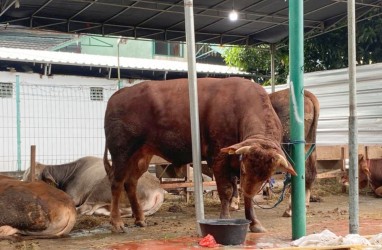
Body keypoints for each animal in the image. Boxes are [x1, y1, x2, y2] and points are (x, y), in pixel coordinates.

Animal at [102, 76, 296, 232]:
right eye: (244, 169)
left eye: (266, 176)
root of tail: (119, 94)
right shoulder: (219, 158)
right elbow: (226, 190)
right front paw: (225, 219)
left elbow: (245, 194)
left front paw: (253, 222)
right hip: (122, 152)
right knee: (116, 183)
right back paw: (117, 222)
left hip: (141, 156)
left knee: (130, 183)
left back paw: (140, 219)